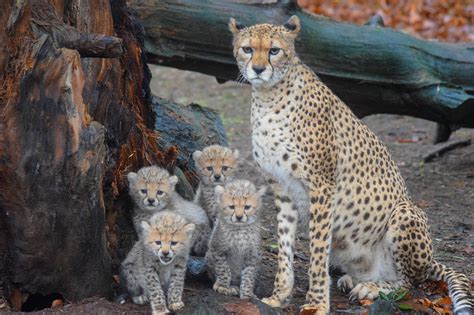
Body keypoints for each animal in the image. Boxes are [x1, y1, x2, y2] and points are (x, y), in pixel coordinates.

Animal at [229, 14, 470, 314]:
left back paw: (372, 287)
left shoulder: (322, 187)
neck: (268, 96)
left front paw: (316, 303)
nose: (259, 69)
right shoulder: (282, 188)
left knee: (409, 282)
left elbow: (318, 251)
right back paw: (351, 280)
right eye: (247, 49)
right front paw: (279, 295)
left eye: (274, 50)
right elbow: (284, 245)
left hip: (405, 212)